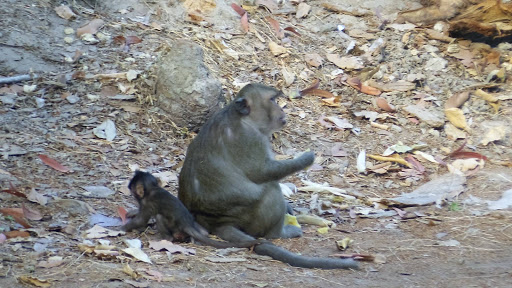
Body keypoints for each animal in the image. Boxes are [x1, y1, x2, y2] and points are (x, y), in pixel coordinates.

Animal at [121, 170, 262, 249]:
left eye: (131, 188)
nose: (130, 189)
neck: (152, 188)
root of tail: (186, 224)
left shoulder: (148, 202)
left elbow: (141, 219)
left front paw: (121, 228)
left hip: (175, 228)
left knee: (160, 217)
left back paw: (167, 239)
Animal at [178, 83, 358, 270]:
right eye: (272, 99)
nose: (282, 109)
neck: (242, 117)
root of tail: (215, 221)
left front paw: (289, 207)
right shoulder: (250, 139)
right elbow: (261, 172)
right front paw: (306, 159)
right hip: (247, 217)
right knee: (270, 188)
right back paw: (280, 233)